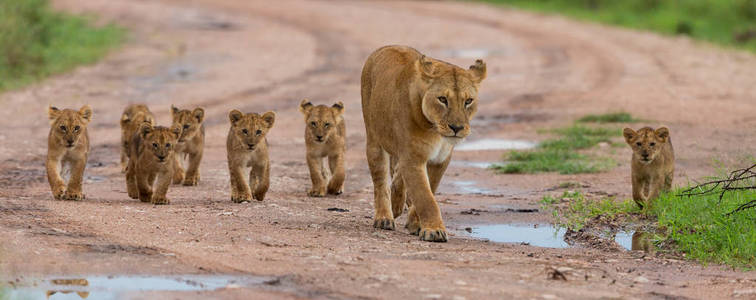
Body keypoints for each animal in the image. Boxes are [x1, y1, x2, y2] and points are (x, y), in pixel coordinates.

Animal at [362, 45, 490, 241]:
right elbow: (426, 197)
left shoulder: (440, 160)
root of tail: (386, 47)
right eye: (442, 99)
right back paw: (384, 218)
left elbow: (430, 189)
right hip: (374, 139)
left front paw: (416, 224)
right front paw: (434, 230)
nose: (457, 128)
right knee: (380, 182)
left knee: (397, 174)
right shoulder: (413, 158)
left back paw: (398, 203)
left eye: (468, 101)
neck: (436, 132)